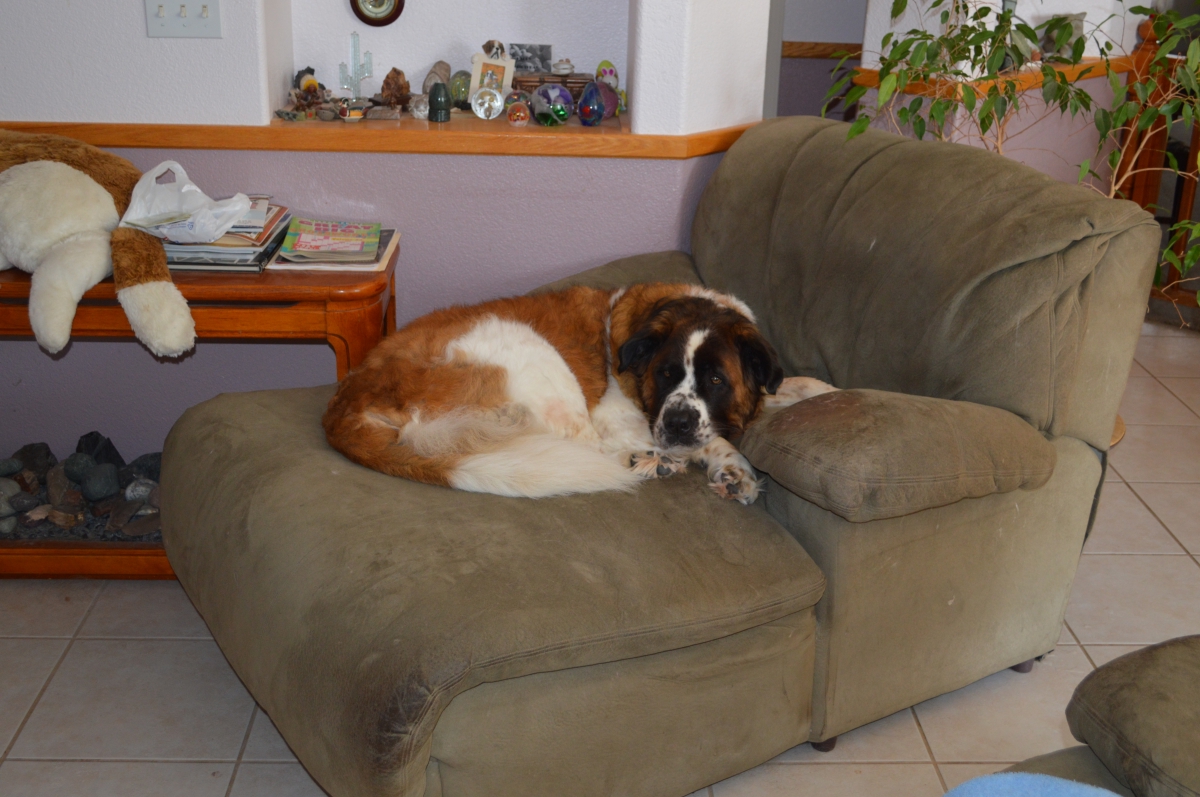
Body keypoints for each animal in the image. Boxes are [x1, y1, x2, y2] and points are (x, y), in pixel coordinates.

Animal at [322, 283, 836, 503]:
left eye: (715, 381)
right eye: (666, 374)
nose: (676, 423)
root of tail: (347, 399)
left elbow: (786, 387)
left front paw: (821, 389)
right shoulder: (621, 418)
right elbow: (712, 439)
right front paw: (731, 465)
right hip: (532, 352)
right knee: (586, 448)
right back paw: (649, 462)